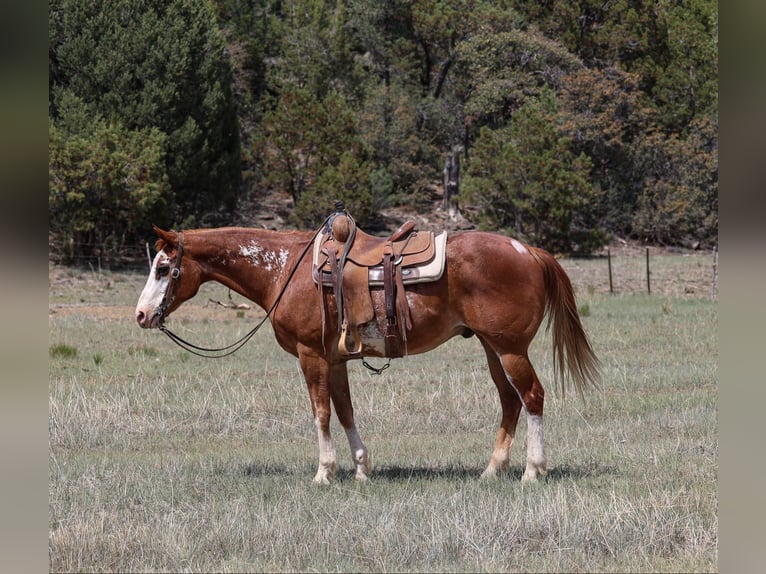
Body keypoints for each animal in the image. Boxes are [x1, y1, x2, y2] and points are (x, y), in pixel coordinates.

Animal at [135, 220, 600, 484]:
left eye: (163, 268)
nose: (141, 314)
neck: (284, 269)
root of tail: (530, 252)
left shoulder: (311, 356)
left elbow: (321, 413)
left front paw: (324, 473)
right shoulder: (335, 359)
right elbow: (345, 412)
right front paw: (361, 468)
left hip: (509, 349)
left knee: (533, 397)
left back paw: (532, 471)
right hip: (493, 349)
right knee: (510, 401)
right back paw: (492, 470)